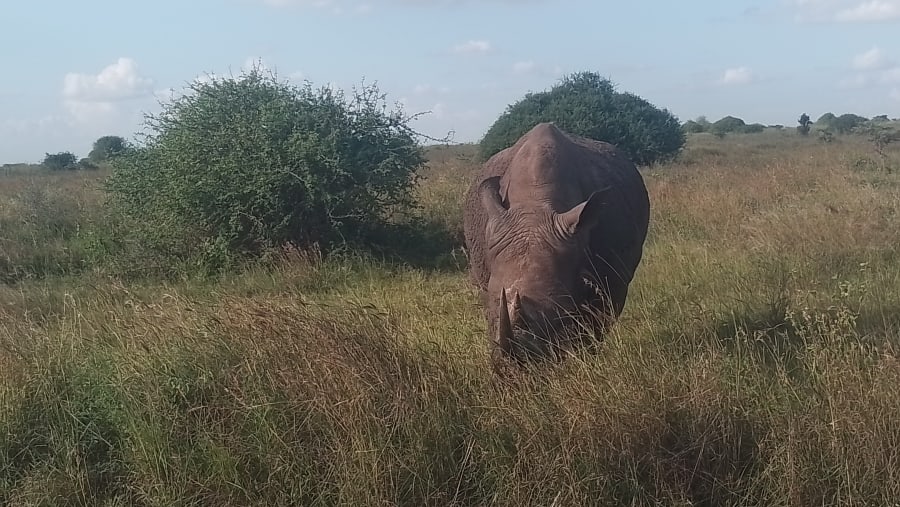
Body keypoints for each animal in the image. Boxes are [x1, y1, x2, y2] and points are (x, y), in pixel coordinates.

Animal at [463, 122, 650, 368]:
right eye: (489, 308)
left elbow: (598, 322)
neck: (535, 205)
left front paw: (583, 358)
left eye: (559, 313)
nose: (512, 369)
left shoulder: (612, 278)